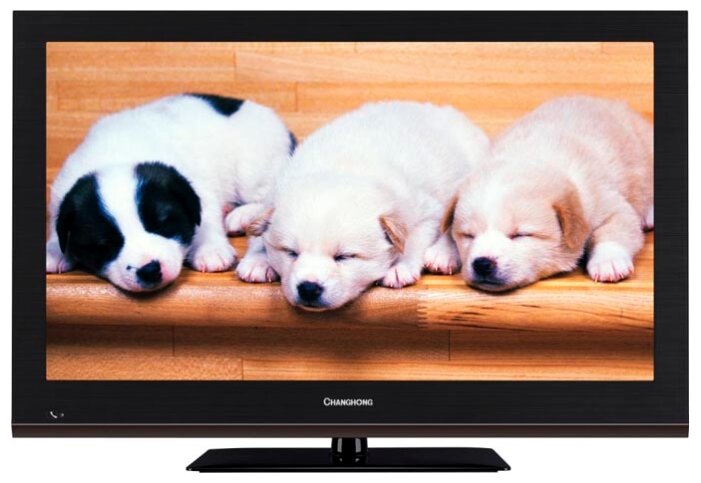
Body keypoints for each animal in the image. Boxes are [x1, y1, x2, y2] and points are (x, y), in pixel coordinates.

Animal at [46, 93, 295, 292]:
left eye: (163, 225)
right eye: (105, 245)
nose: (149, 270)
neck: (116, 156)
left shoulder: (198, 186)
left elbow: (207, 219)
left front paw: (210, 249)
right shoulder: (63, 194)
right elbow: (56, 227)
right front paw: (54, 250)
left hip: (253, 170)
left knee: (263, 195)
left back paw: (241, 215)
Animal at [238, 101, 490, 311]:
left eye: (344, 257)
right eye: (291, 253)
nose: (308, 288)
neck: (341, 169)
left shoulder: (428, 211)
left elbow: (413, 241)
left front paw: (400, 267)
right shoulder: (274, 197)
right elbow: (261, 232)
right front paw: (257, 260)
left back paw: (442, 255)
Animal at [444, 96, 653, 292]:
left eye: (520, 235)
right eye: (468, 235)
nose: (482, 263)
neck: (532, 155)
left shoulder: (609, 205)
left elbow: (616, 229)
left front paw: (608, 261)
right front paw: (444, 252)